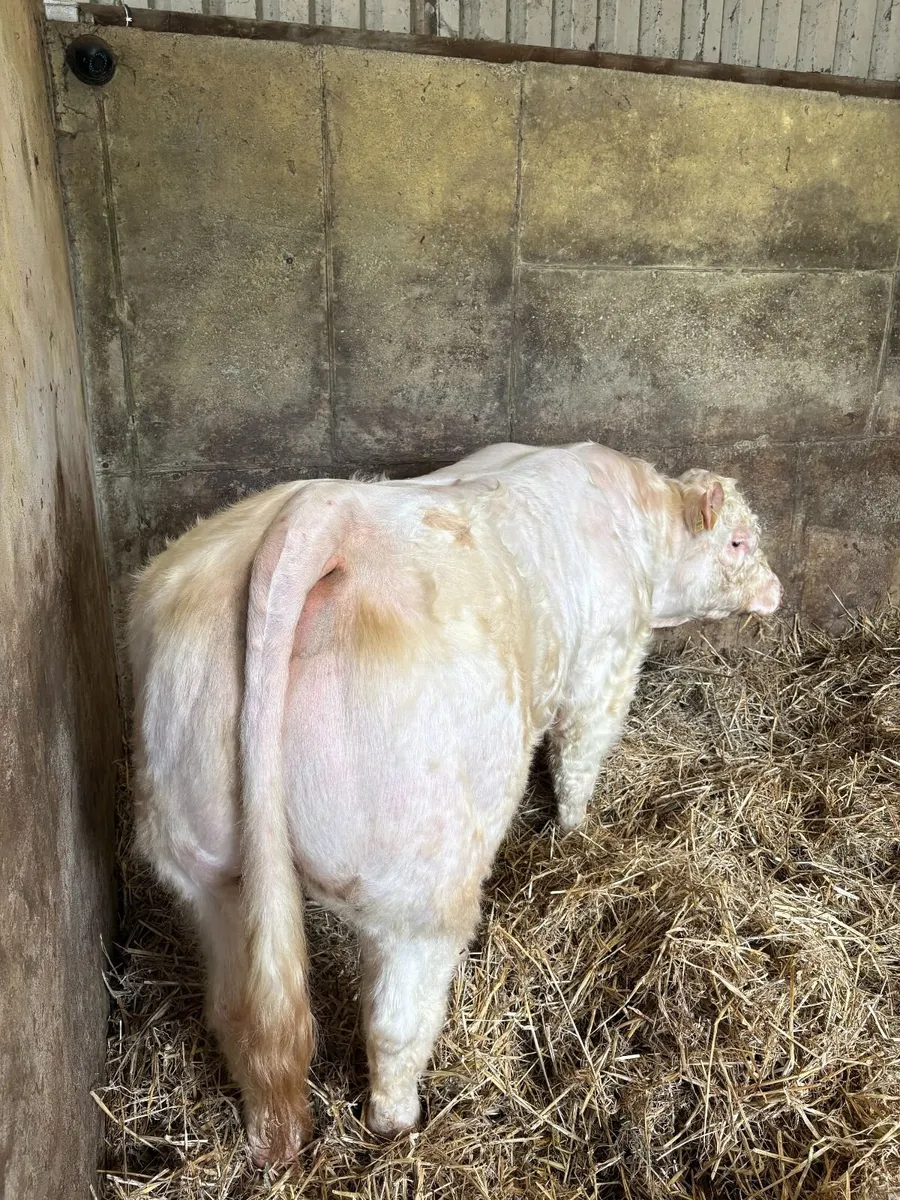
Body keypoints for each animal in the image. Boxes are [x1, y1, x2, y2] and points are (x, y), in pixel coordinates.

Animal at [128, 441, 781, 1165]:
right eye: (739, 540)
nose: (776, 591)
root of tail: (319, 516)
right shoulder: (605, 664)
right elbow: (580, 756)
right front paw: (577, 834)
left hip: (200, 860)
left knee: (239, 1008)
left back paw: (275, 1140)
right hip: (419, 877)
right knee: (394, 1021)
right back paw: (400, 1122)